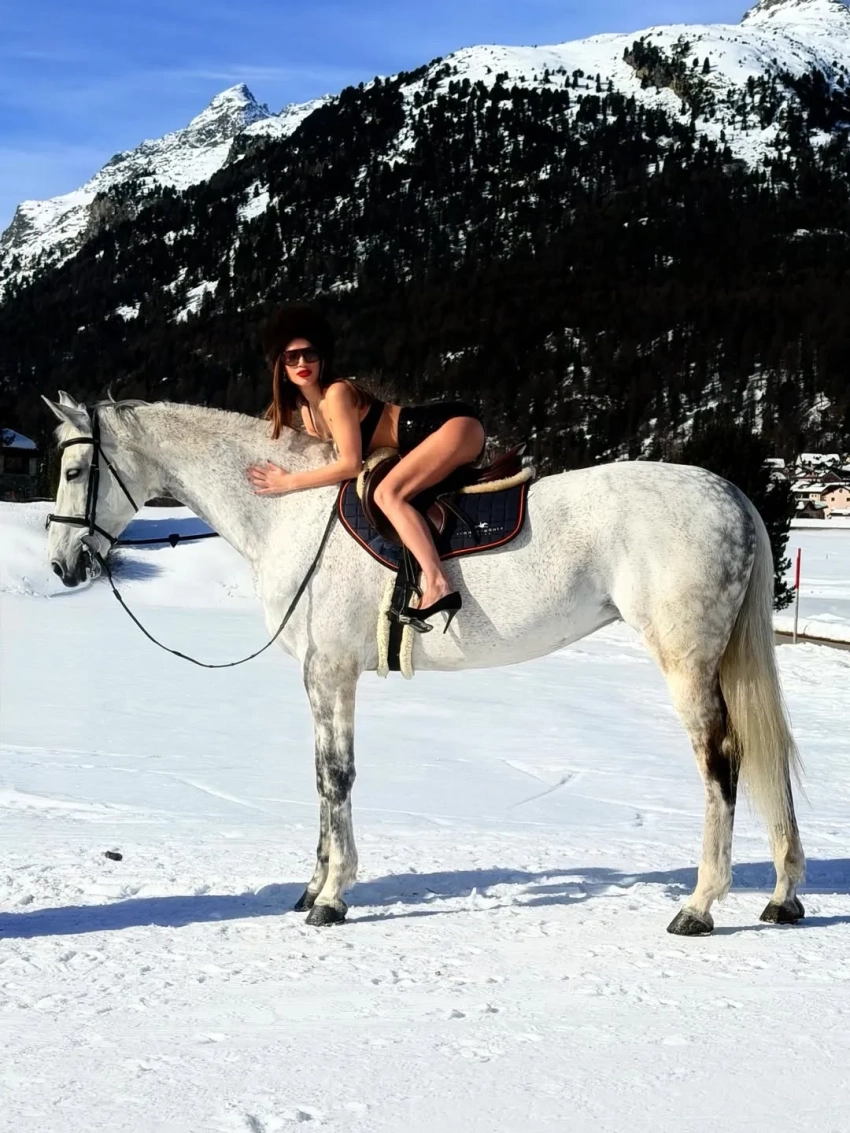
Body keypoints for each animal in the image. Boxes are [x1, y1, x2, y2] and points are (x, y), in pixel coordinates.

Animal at [42, 392, 806, 935]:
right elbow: (320, 778)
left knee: (722, 762)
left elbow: (338, 777)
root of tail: (727, 493)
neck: (296, 512)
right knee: (764, 758)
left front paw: (334, 896)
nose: (61, 563)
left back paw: (701, 905)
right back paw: (783, 895)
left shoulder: (331, 671)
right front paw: (312, 885)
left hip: (687, 662)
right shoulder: (318, 677)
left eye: (75, 470)